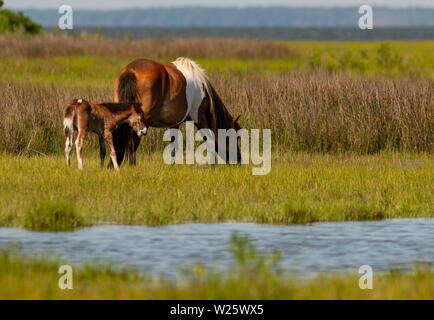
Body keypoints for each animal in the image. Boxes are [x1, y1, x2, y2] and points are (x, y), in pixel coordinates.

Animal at [112, 56, 241, 166]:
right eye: (236, 137)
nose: (239, 160)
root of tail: (131, 70)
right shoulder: (200, 118)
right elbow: (209, 140)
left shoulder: (175, 123)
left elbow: (174, 145)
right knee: (133, 140)